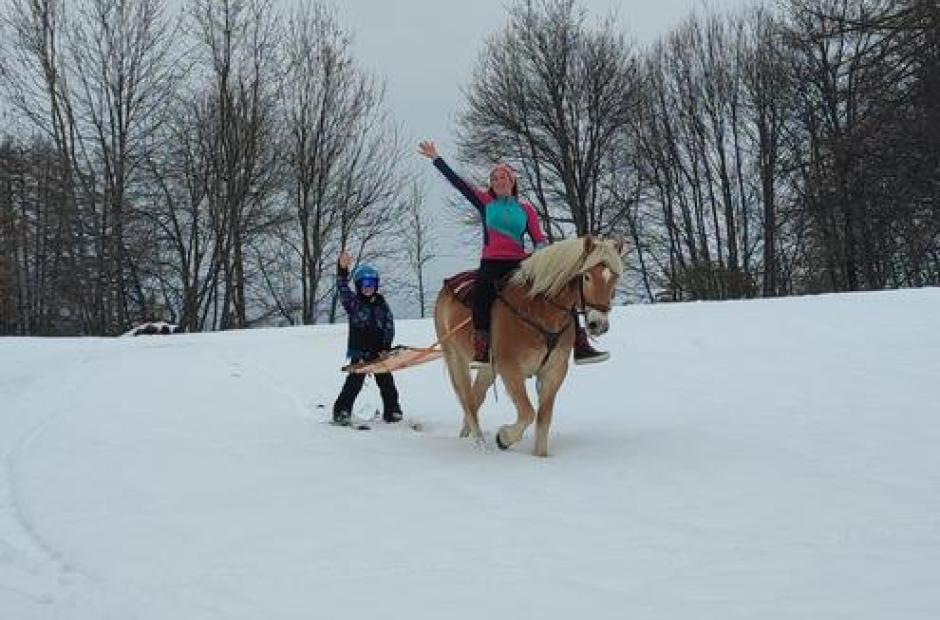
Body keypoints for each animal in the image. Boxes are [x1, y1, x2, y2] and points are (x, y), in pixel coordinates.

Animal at [433, 235, 625, 457]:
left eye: (615, 277)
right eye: (586, 277)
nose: (598, 324)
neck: (538, 310)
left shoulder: (554, 372)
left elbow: (544, 417)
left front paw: (540, 456)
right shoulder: (511, 370)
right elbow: (528, 413)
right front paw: (504, 438)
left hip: (488, 367)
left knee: (475, 396)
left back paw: (466, 434)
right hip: (455, 358)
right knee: (466, 399)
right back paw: (480, 441)